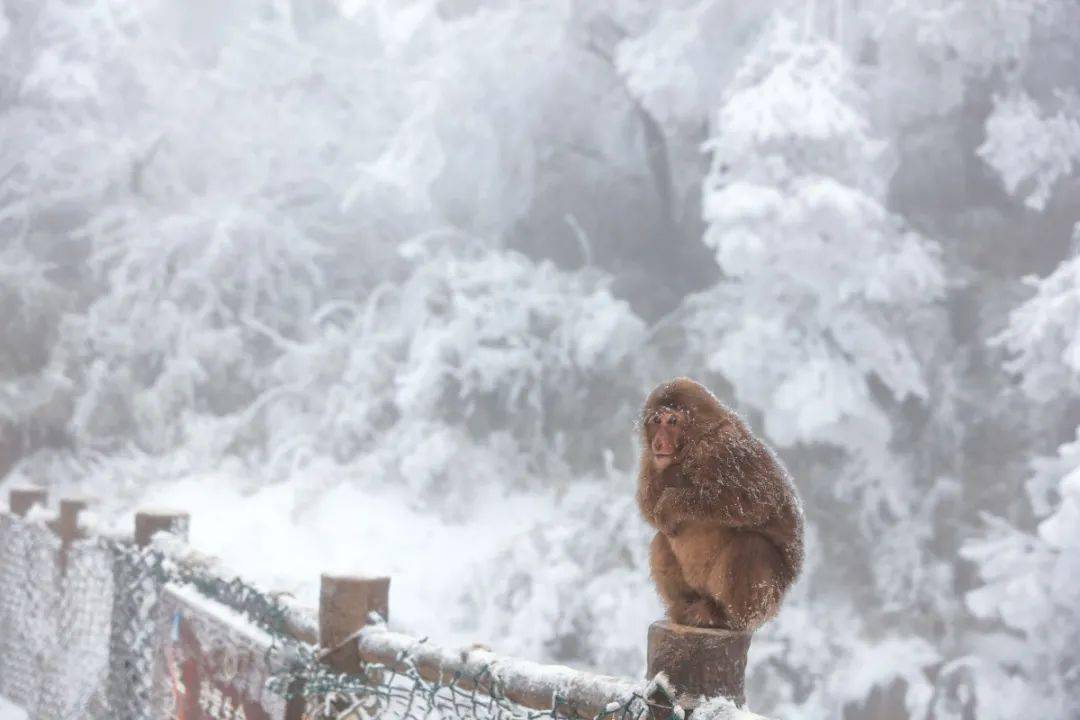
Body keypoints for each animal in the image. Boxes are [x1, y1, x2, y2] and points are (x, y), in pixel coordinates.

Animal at [630, 377, 803, 630]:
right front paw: (669, 481)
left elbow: (752, 501)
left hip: (768, 600)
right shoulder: (649, 459)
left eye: (673, 421)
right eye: (656, 421)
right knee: (661, 540)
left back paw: (723, 616)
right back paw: (684, 606)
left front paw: (671, 502)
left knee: (751, 545)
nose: (659, 443)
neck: (694, 442)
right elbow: (648, 505)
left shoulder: (724, 449)